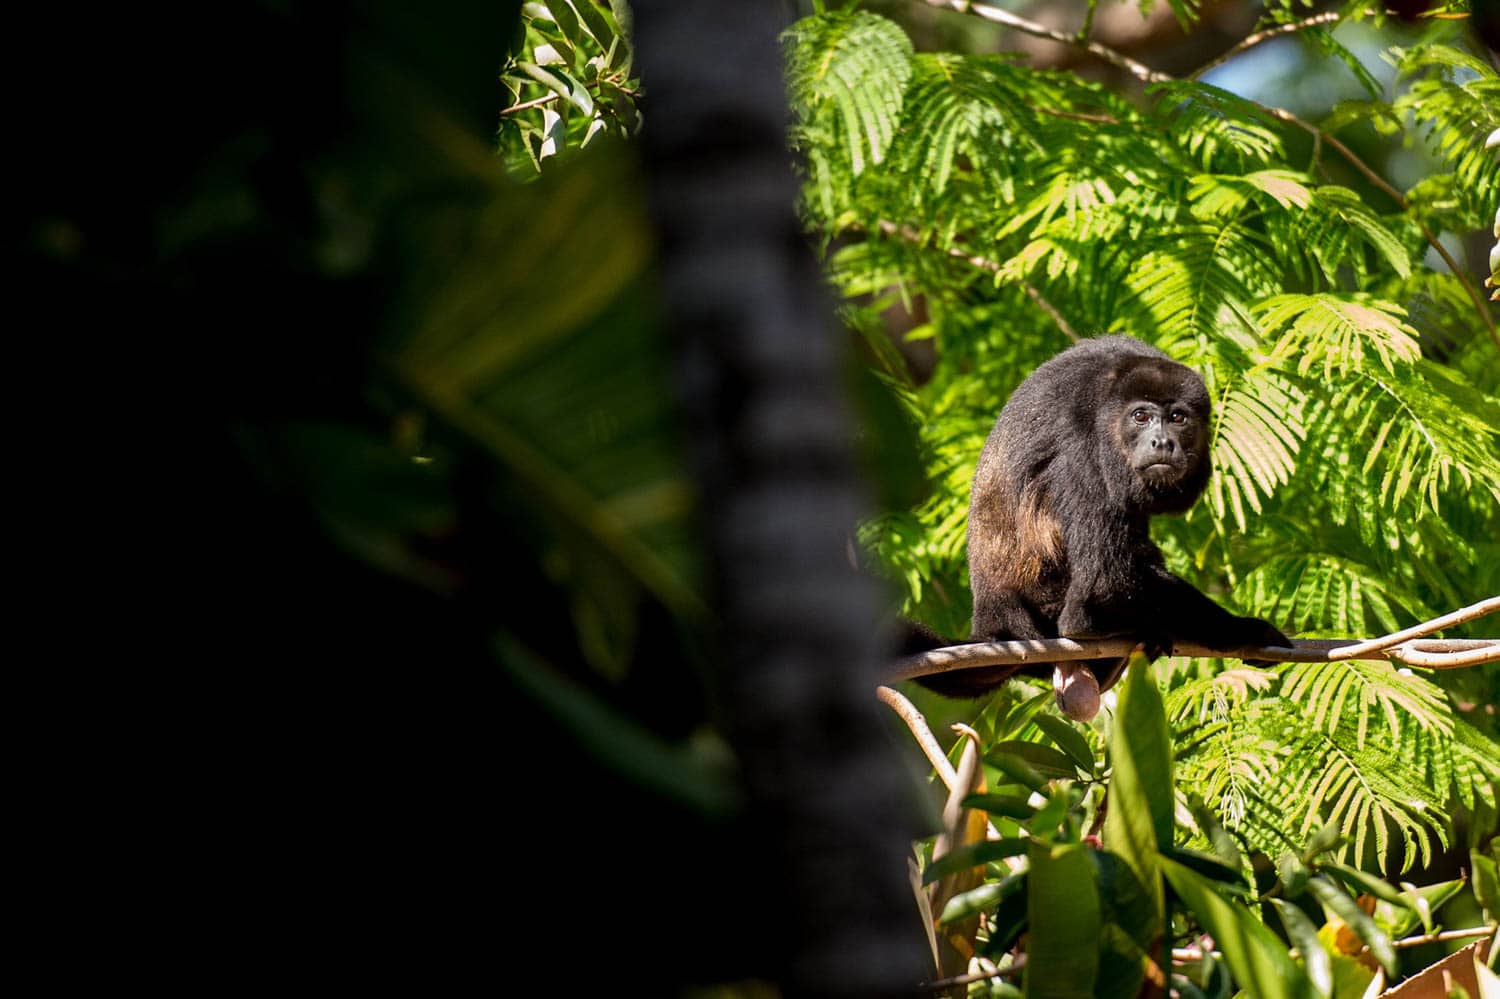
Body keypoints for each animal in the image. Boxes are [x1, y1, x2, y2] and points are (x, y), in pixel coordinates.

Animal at [912, 339, 1290, 711]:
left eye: (1178, 417)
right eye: (1141, 416)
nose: (1162, 442)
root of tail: (994, 621)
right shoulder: (1082, 448)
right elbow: (1102, 590)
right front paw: (1244, 630)